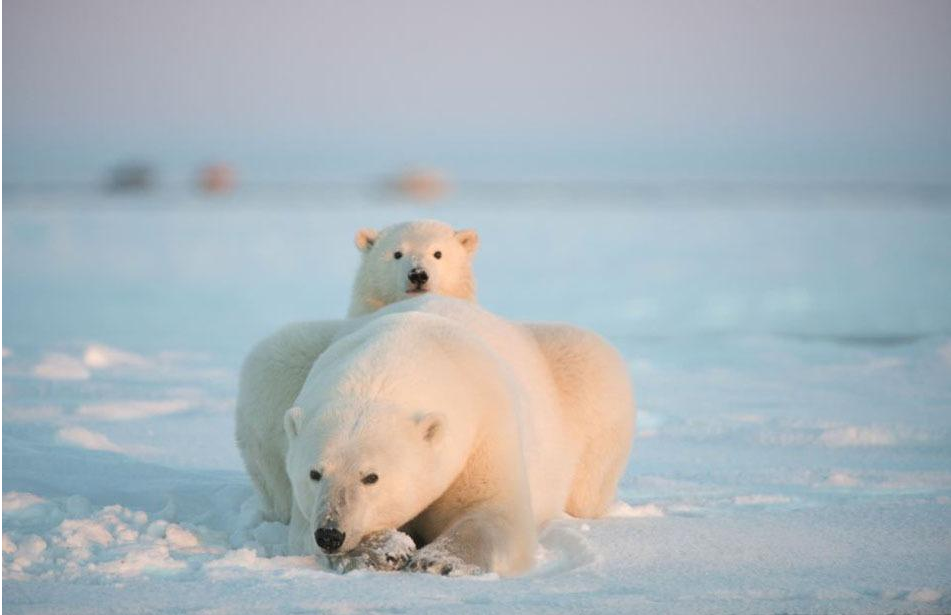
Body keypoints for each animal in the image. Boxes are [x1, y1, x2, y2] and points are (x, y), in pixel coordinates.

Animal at [240, 296, 632, 576]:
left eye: (372, 477)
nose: (331, 533)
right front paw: (384, 549)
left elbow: (494, 510)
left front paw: (438, 560)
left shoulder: (485, 426)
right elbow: (299, 532)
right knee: (269, 360)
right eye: (315, 473)